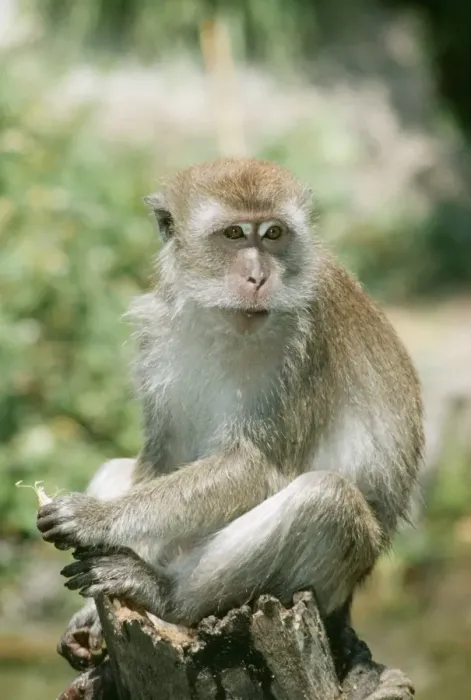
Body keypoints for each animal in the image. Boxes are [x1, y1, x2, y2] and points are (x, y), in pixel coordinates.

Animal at [37, 157, 424, 671]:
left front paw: (96, 517)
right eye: (235, 234)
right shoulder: (157, 334)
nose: (258, 277)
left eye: (274, 233)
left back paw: (164, 595)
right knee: (120, 469)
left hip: (332, 585)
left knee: (327, 499)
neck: (222, 318)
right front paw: (88, 615)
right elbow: (161, 459)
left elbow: (258, 467)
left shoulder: (302, 341)